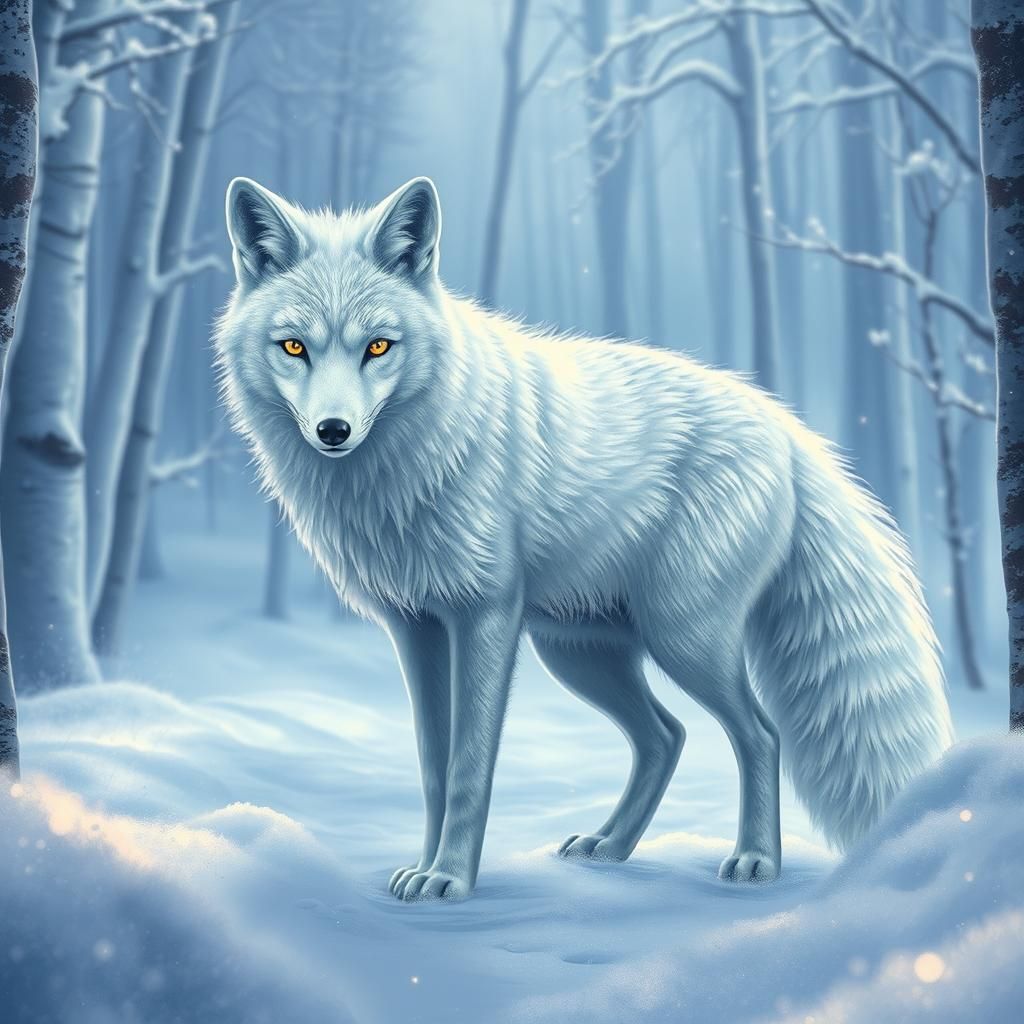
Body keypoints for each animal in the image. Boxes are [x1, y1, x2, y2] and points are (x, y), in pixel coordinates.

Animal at [214, 175, 954, 902]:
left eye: (377, 347)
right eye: (293, 347)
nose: (333, 430)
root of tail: (787, 428)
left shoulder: (485, 616)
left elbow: (469, 768)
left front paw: (451, 879)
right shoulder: (415, 627)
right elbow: (432, 766)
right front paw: (422, 870)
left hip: (679, 637)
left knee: (759, 733)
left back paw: (755, 861)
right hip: (579, 652)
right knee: (667, 736)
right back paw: (611, 847)